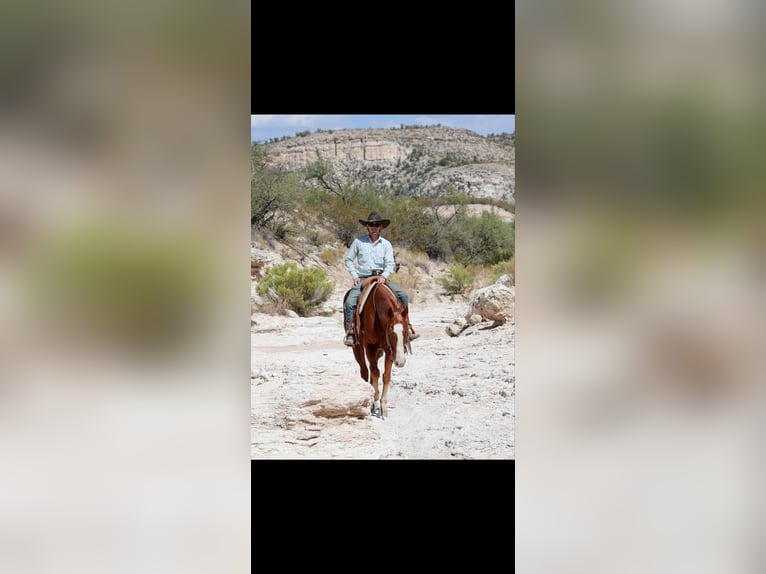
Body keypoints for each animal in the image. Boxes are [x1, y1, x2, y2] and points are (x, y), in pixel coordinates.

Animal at [350, 278, 412, 418]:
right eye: (391, 333)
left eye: (406, 331)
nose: (400, 362)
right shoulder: (370, 348)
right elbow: (375, 373)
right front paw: (375, 402)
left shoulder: (389, 350)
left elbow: (386, 376)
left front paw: (383, 407)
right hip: (357, 348)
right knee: (365, 371)